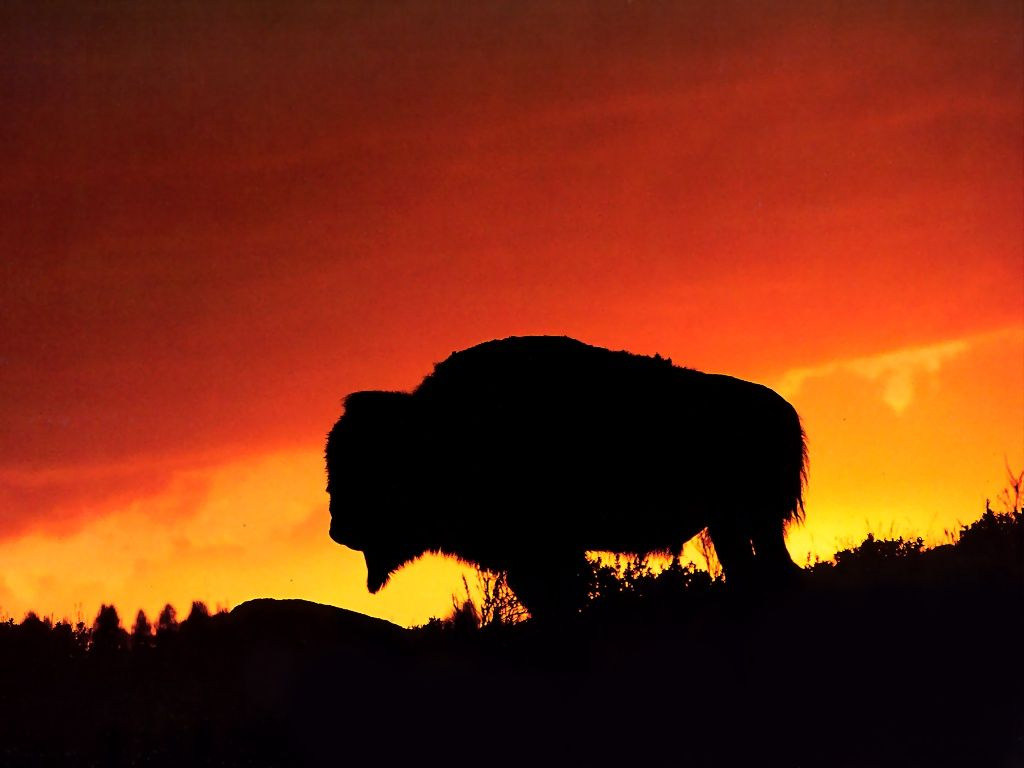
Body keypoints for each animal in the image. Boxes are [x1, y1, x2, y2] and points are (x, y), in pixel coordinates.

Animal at [323, 335, 802, 618]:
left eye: (371, 466)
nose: (337, 529)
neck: (433, 432)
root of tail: (780, 407)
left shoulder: (545, 551)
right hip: (732, 524)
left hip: (748, 518)